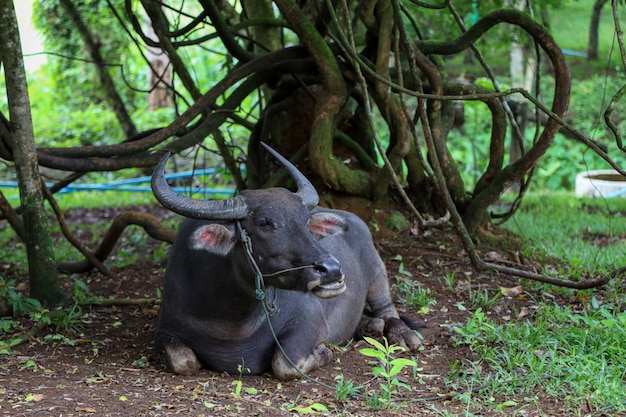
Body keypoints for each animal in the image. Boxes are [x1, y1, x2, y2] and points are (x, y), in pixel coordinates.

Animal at [149, 144, 416, 380]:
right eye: (264, 222)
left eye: (306, 221)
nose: (331, 269)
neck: (229, 322)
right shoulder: (166, 330)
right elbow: (183, 361)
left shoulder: (307, 323)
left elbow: (284, 362)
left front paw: (325, 351)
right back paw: (369, 326)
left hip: (376, 271)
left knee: (386, 306)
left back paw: (401, 333)